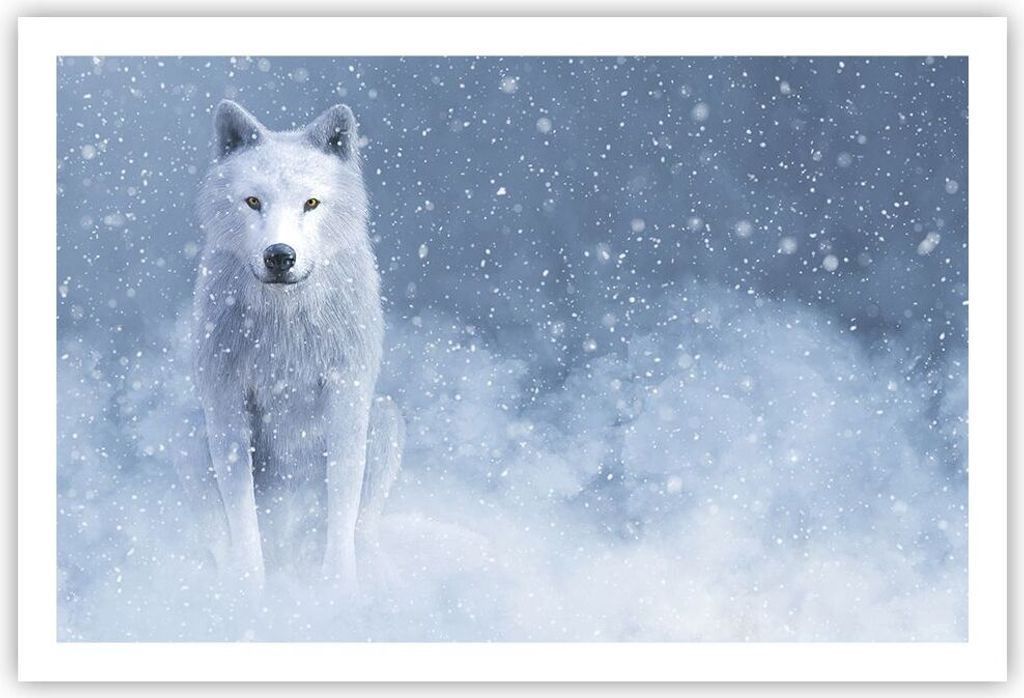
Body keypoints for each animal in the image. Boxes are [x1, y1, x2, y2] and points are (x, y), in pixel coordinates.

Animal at [180, 100, 404, 592]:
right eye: (253, 201)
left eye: (311, 203)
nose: (280, 256)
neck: (284, 324)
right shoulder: (225, 402)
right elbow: (242, 512)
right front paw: (250, 590)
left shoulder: (346, 396)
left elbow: (342, 501)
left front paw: (338, 588)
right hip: (191, 435)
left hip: (384, 418)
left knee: (363, 526)